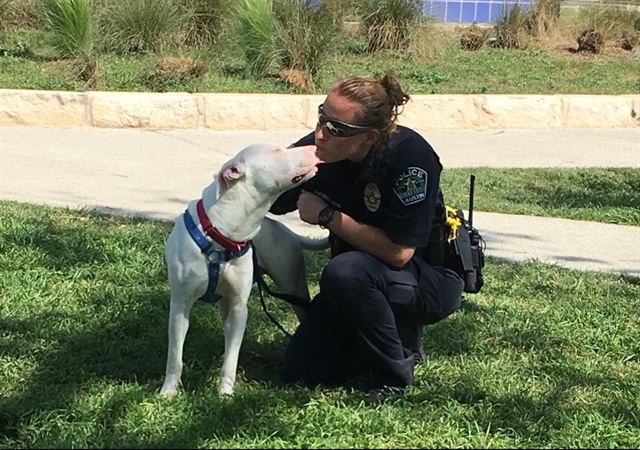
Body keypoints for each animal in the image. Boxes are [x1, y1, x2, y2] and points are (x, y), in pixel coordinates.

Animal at [159, 142, 320, 396]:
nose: (315, 146)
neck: (223, 233)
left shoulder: (238, 307)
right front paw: (168, 391)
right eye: (276, 151)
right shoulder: (180, 305)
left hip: (293, 285)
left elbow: (232, 358)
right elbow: (175, 355)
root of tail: (287, 231)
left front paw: (224, 393)